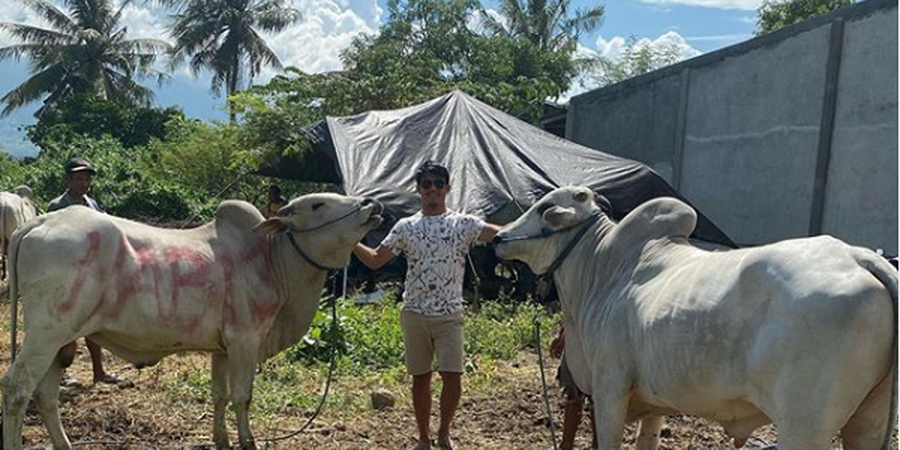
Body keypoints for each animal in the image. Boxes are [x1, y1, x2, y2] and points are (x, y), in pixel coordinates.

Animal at [496, 186, 896, 450]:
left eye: (545, 208)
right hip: (868, 423)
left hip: (804, 427)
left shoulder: (610, 389)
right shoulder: (651, 405)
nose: (499, 236)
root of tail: (859, 258)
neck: (601, 267)